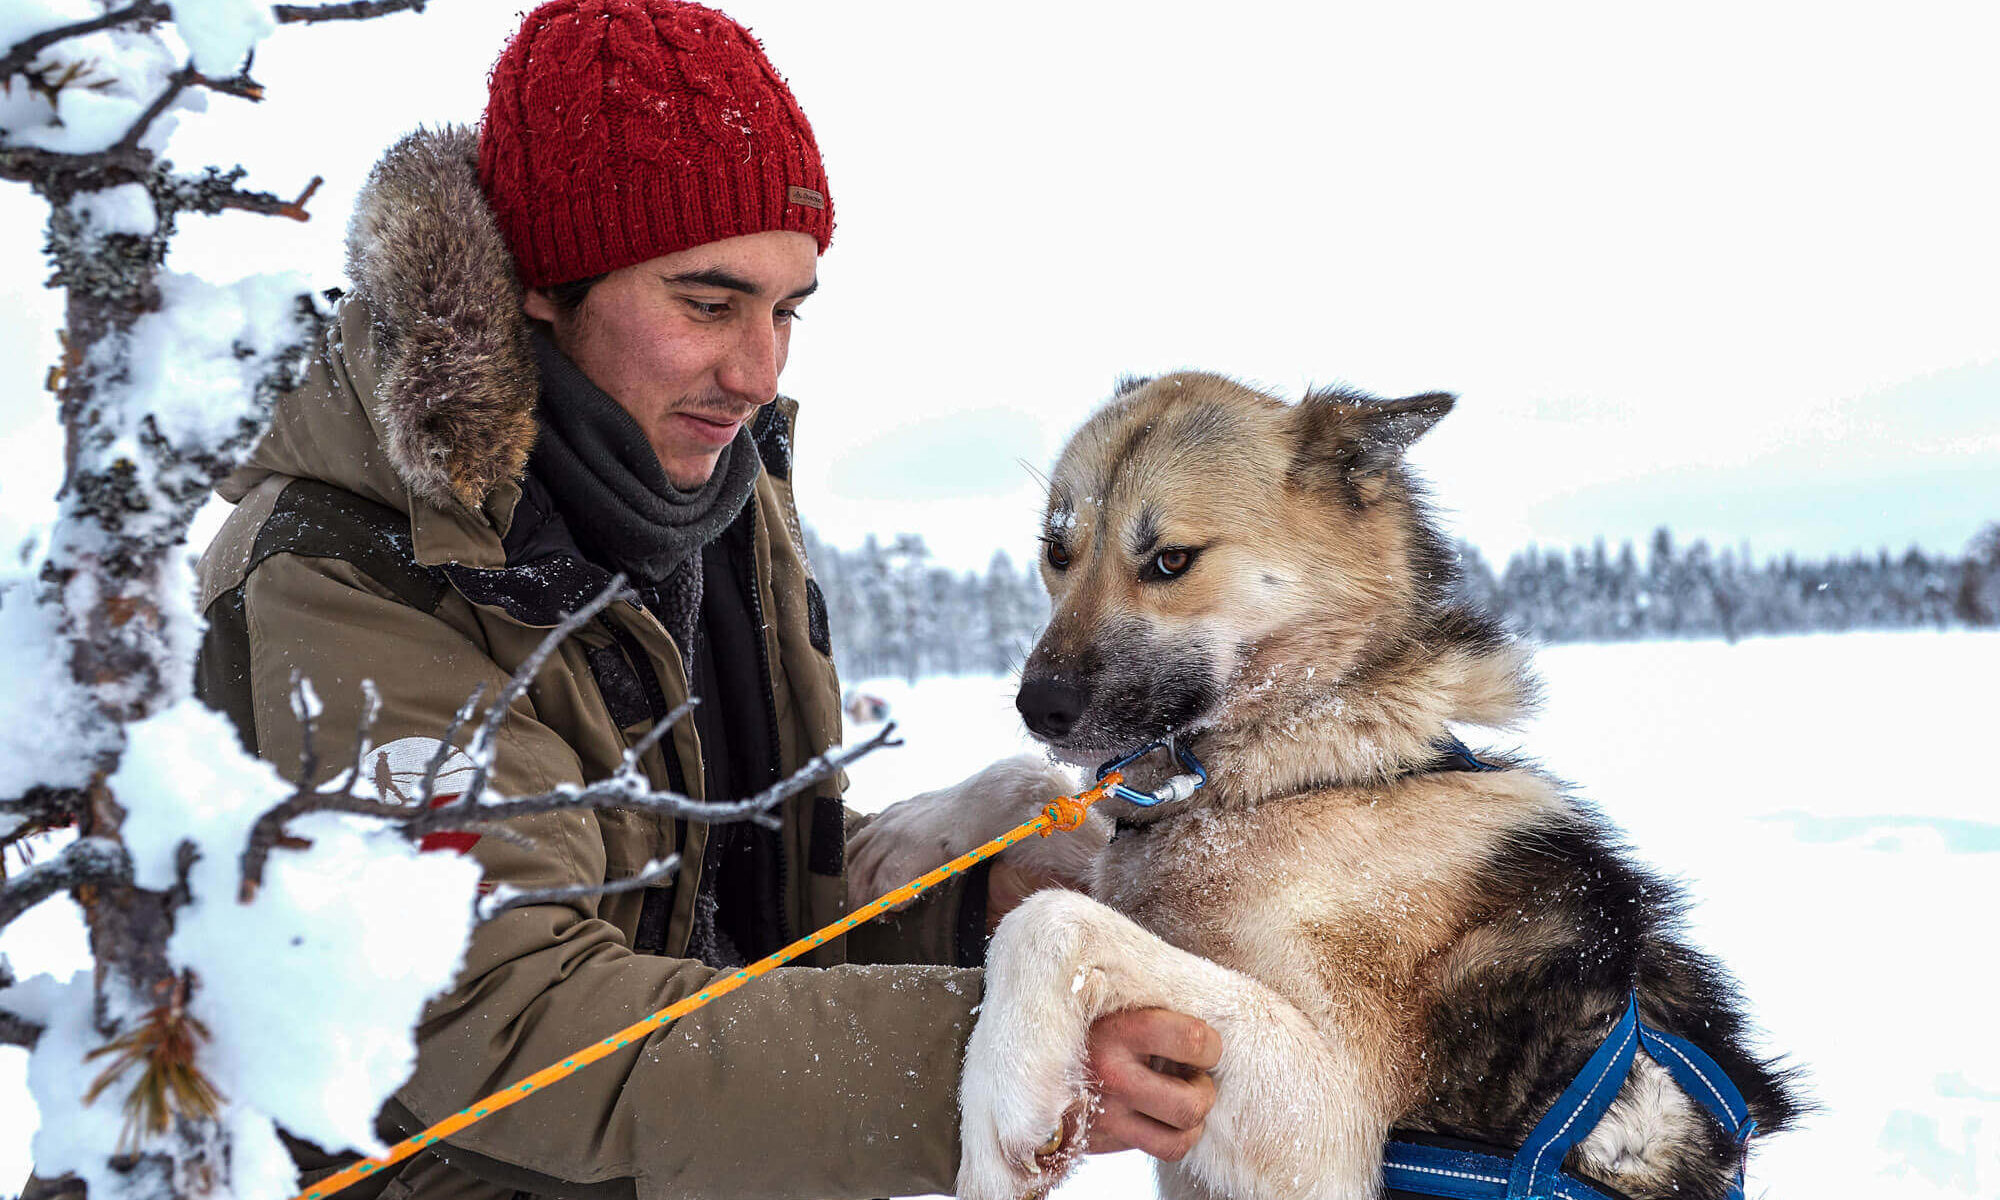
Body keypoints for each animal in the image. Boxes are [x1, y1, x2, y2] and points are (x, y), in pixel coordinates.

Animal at [888, 372, 1800, 1192]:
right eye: (1057, 552)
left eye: (1171, 559)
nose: (1038, 704)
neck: (1297, 773)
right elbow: (1023, 794)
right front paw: (915, 829)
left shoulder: (1328, 1127)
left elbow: (1049, 921)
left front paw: (998, 1113)